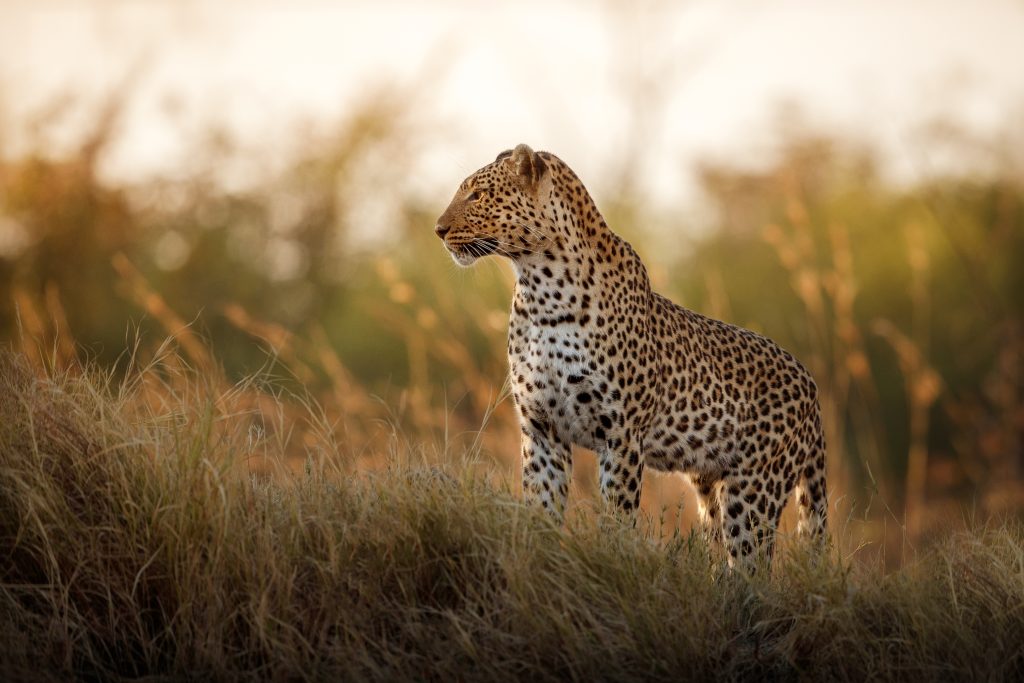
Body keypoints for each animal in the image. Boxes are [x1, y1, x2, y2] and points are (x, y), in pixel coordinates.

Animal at [435, 143, 827, 567]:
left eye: (478, 195)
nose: (439, 229)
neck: (541, 289)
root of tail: (810, 384)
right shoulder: (542, 429)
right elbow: (541, 510)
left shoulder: (620, 435)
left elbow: (617, 518)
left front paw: (611, 561)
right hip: (711, 486)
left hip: (754, 490)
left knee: (752, 565)